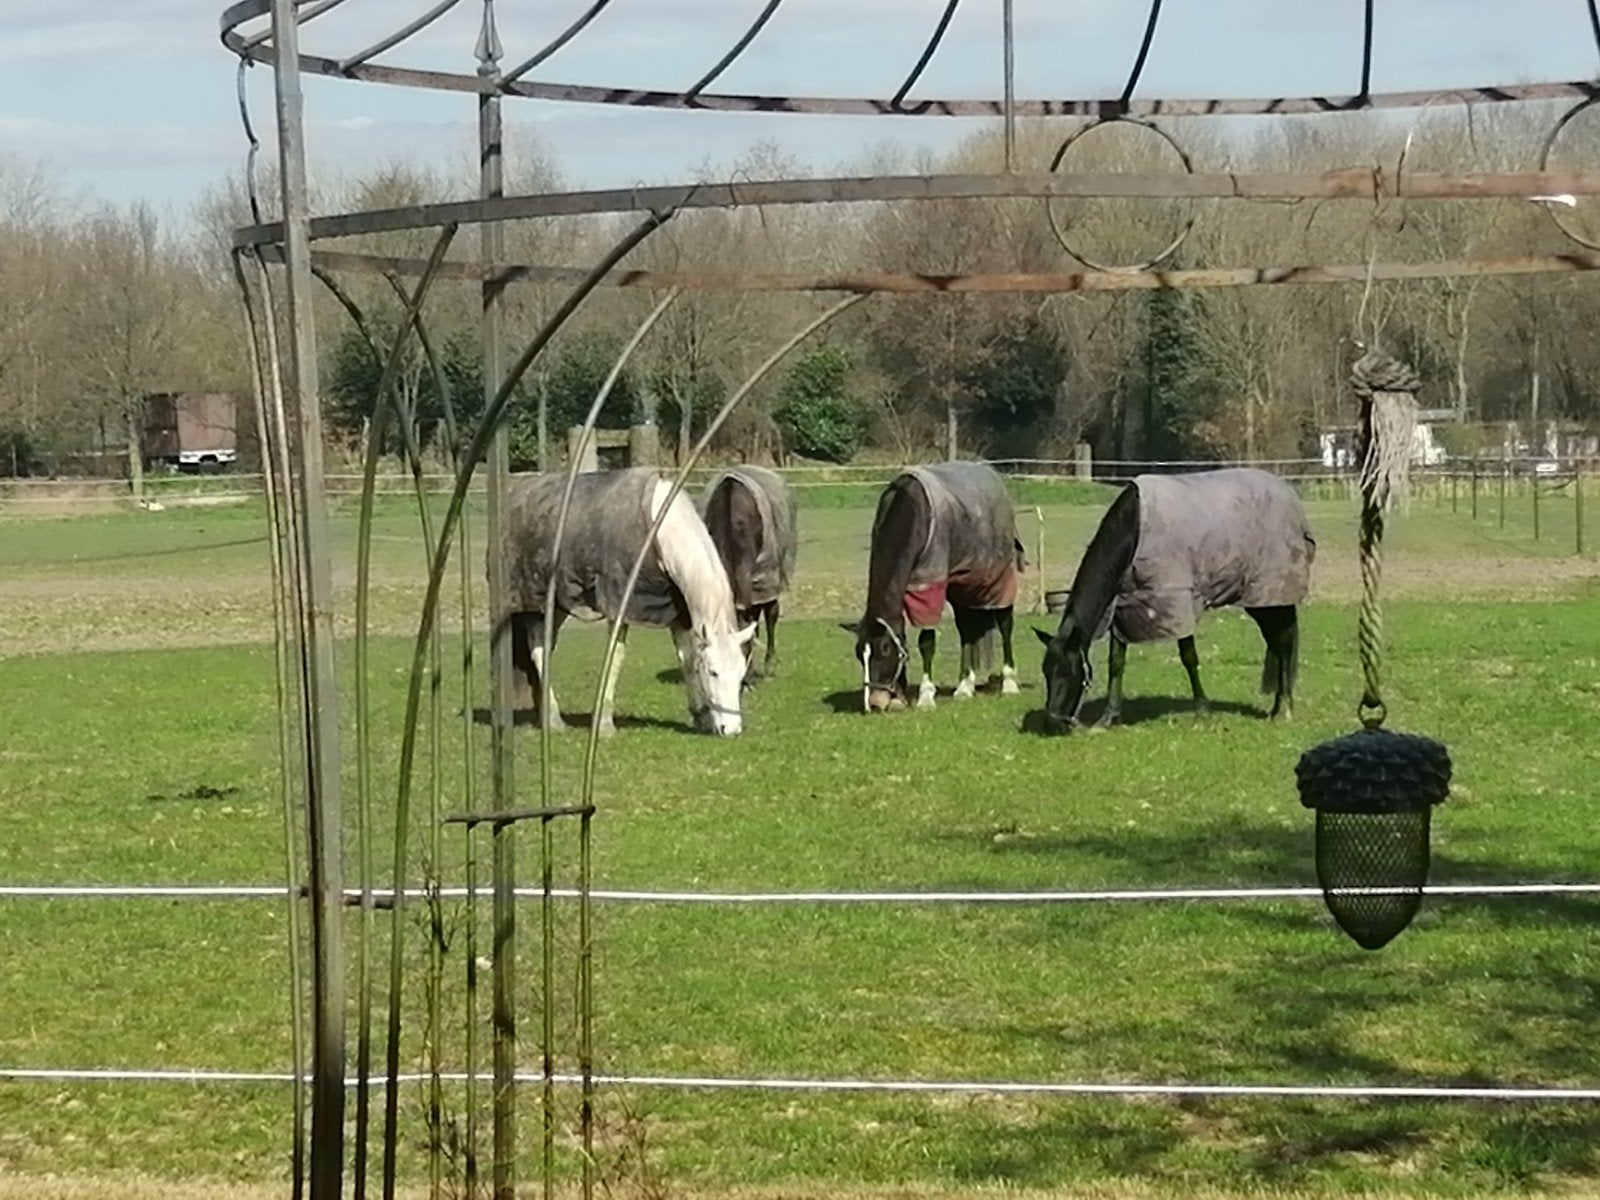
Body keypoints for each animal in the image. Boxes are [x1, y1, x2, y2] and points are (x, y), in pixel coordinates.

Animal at [496, 467, 756, 736]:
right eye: (713, 672)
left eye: (741, 674)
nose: (732, 729)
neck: (657, 533)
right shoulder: (620, 606)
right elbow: (615, 658)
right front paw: (604, 724)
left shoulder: (678, 613)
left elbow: (687, 659)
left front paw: (700, 716)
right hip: (533, 603)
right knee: (539, 651)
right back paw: (555, 720)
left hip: (557, 606)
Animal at [849, 460, 1024, 712]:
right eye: (858, 654)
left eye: (884, 651)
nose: (874, 703)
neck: (913, 508)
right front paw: (900, 697)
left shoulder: (928, 585)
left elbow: (927, 642)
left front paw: (925, 697)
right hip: (962, 587)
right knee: (968, 631)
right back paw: (964, 687)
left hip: (998, 578)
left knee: (1005, 624)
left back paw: (1009, 683)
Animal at [1036, 467, 1314, 734]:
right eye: (1046, 672)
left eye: (1070, 672)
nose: (1052, 725)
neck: (1136, 527)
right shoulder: (1123, 607)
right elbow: (1116, 663)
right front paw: (1108, 719)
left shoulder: (1177, 601)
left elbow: (1189, 658)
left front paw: (1201, 713)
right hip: (1259, 601)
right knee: (1276, 642)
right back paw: (1277, 707)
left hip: (1271, 596)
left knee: (1283, 643)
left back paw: (1284, 710)